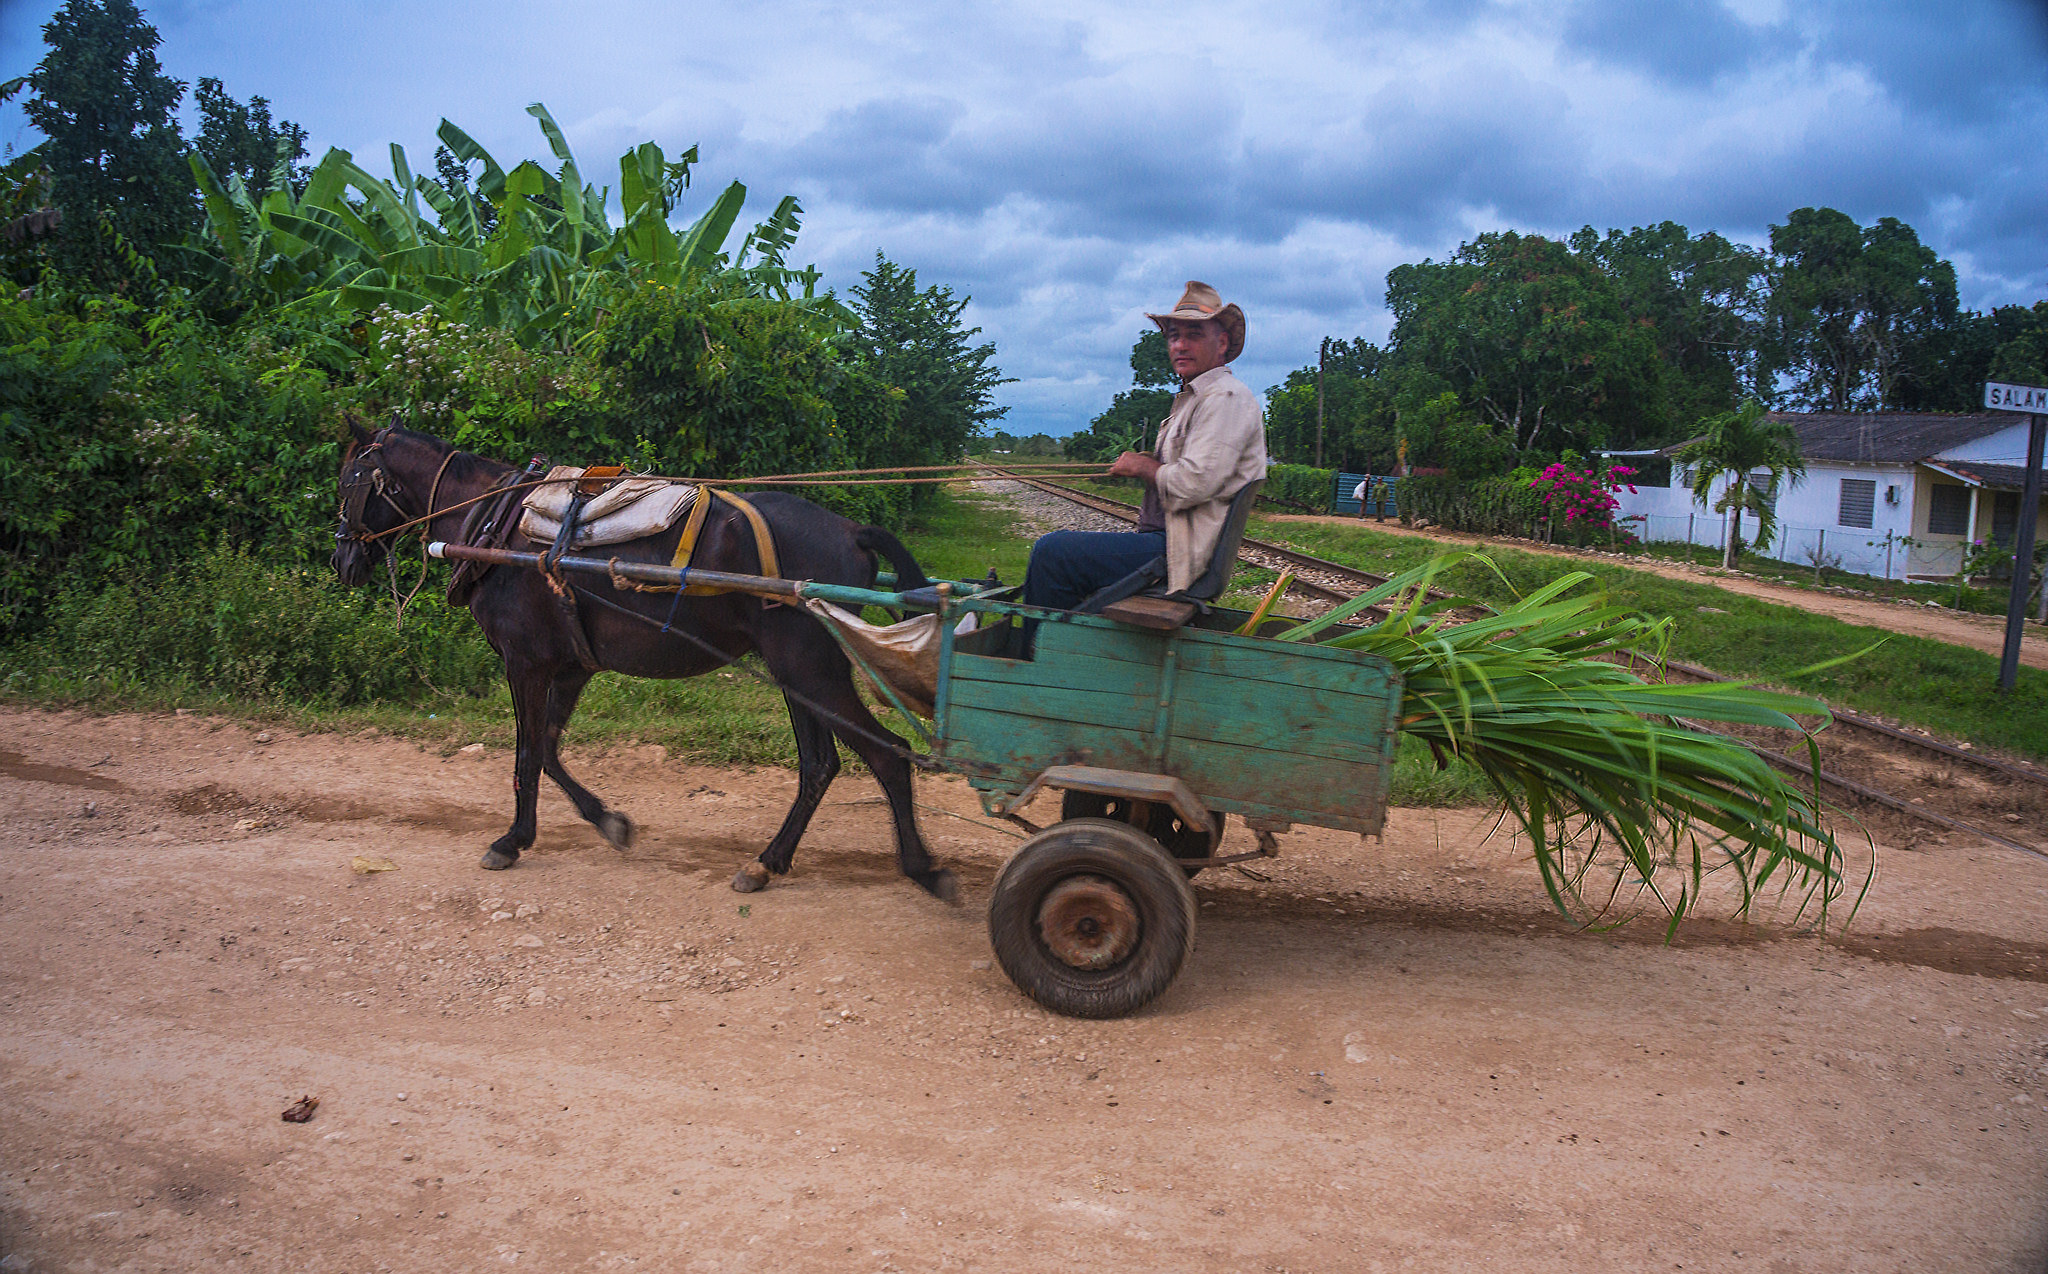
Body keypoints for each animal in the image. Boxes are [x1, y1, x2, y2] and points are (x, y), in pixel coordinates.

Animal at [327, 423, 950, 905]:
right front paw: (609, 822)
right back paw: (768, 862)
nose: (342, 560)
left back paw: (924, 869)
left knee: (887, 753)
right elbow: (548, 750)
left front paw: (513, 840)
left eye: (349, 480)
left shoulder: (524, 663)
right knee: (820, 765)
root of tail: (851, 531)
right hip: (796, 673)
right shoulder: (571, 665)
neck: (494, 526)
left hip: (809, 669)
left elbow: (527, 755)